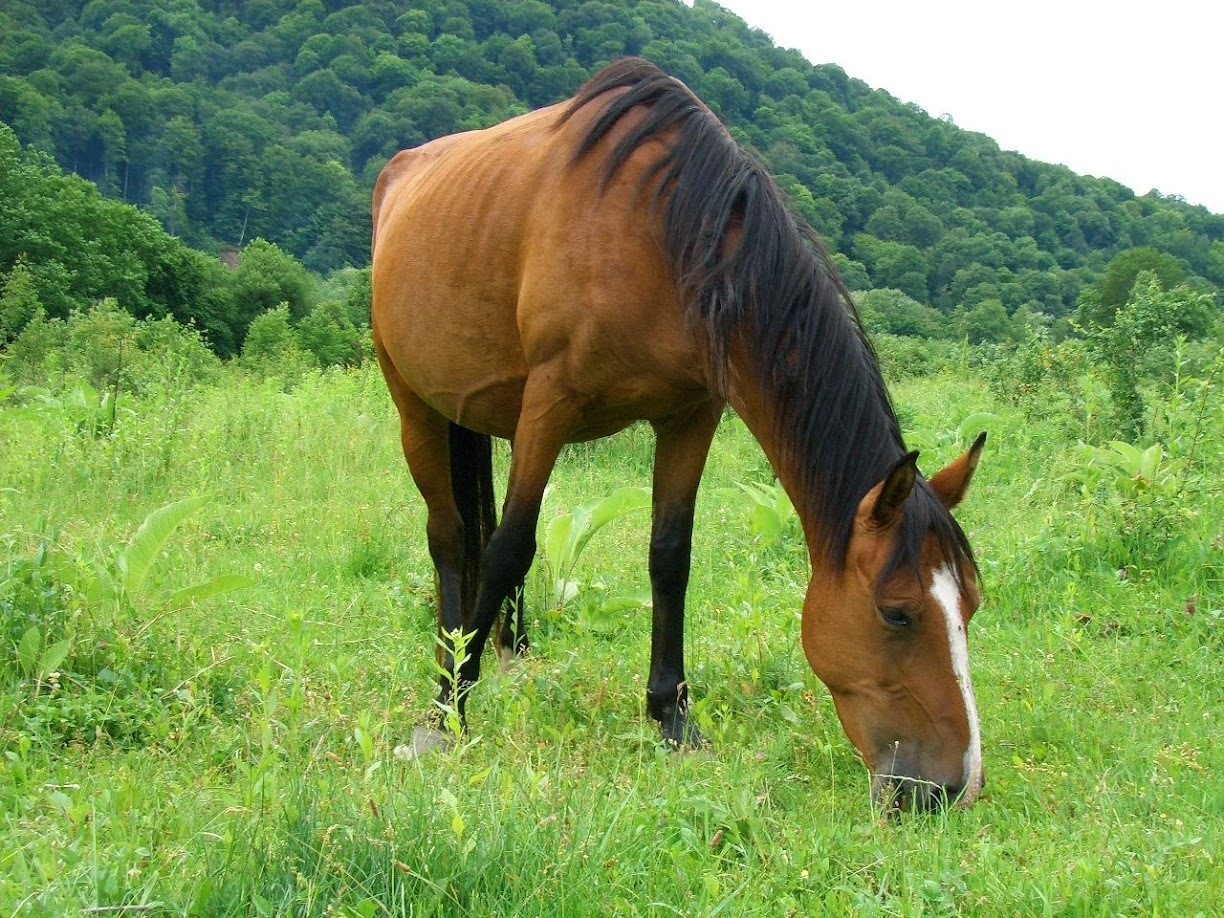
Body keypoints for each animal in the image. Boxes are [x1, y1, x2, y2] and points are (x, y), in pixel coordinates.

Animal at [367, 57, 988, 812]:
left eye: (971, 606)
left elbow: (670, 558)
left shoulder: (691, 414)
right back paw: (452, 670)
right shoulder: (550, 403)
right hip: (416, 406)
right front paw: (446, 714)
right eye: (898, 614)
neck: (662, 235)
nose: (951, 787)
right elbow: (510, 547)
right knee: (452, 540)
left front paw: (671, 717)